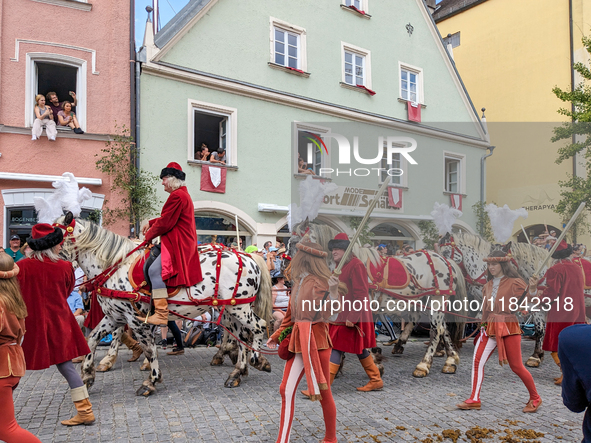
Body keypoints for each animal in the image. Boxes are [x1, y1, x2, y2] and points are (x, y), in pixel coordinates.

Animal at [56, 213, 274, 398]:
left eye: (54, 237)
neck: (116, 267)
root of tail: (248, 258)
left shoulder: (135, 319)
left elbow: (149, 348)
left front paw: (150, 380)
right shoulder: (114, 316)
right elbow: (92, 339)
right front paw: (87, 376)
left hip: (239, 308)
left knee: (258, 327)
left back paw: (255, 359)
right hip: (230, 309)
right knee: (241, 336)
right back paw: (237, 371)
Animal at [284, 222, 470, 378]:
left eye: (297, 245)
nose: (289, 278)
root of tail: (445, 260)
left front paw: (374, 364)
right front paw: (337, 366)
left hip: (436, 299)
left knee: (437, 330)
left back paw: (423, 365)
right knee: (443, 328)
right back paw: (450, 360)